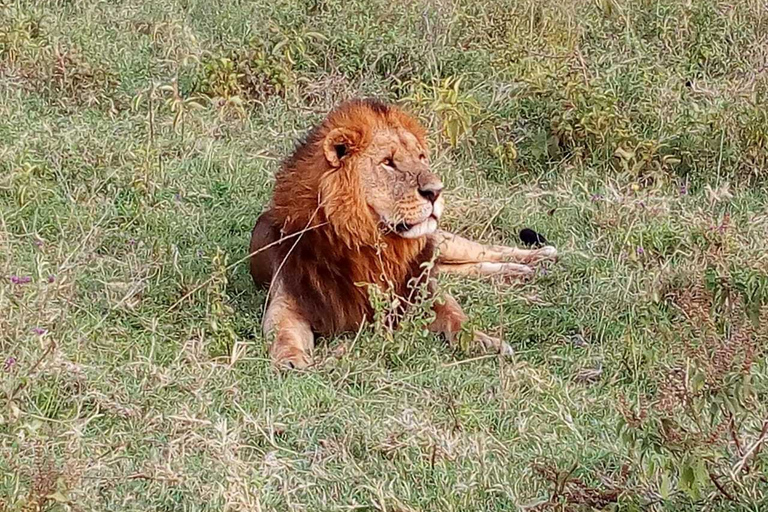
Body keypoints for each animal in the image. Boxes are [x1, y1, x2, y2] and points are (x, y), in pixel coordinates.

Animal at [249, 99, 556, 368]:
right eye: (388, 162)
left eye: (421, 157)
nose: (436, 191)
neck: (374, 243)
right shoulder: (290, 298)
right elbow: (283, 331)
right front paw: (290, 359)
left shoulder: (421, 288)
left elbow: (456, 315)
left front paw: (485, 341)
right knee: (470, 267)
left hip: (443, 242)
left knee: (489, 251)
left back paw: (538, 259)